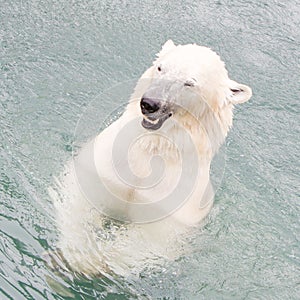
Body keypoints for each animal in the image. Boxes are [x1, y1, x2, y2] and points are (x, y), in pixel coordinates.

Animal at [50, 39, 252, 276]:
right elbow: (79, 202)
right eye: (160, 68)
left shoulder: (173, 210)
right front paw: (76, 253)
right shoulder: (102, 167)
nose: (149, 103)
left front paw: (92, 261)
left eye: (189, 83)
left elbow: (149, 240)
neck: (150, 148)